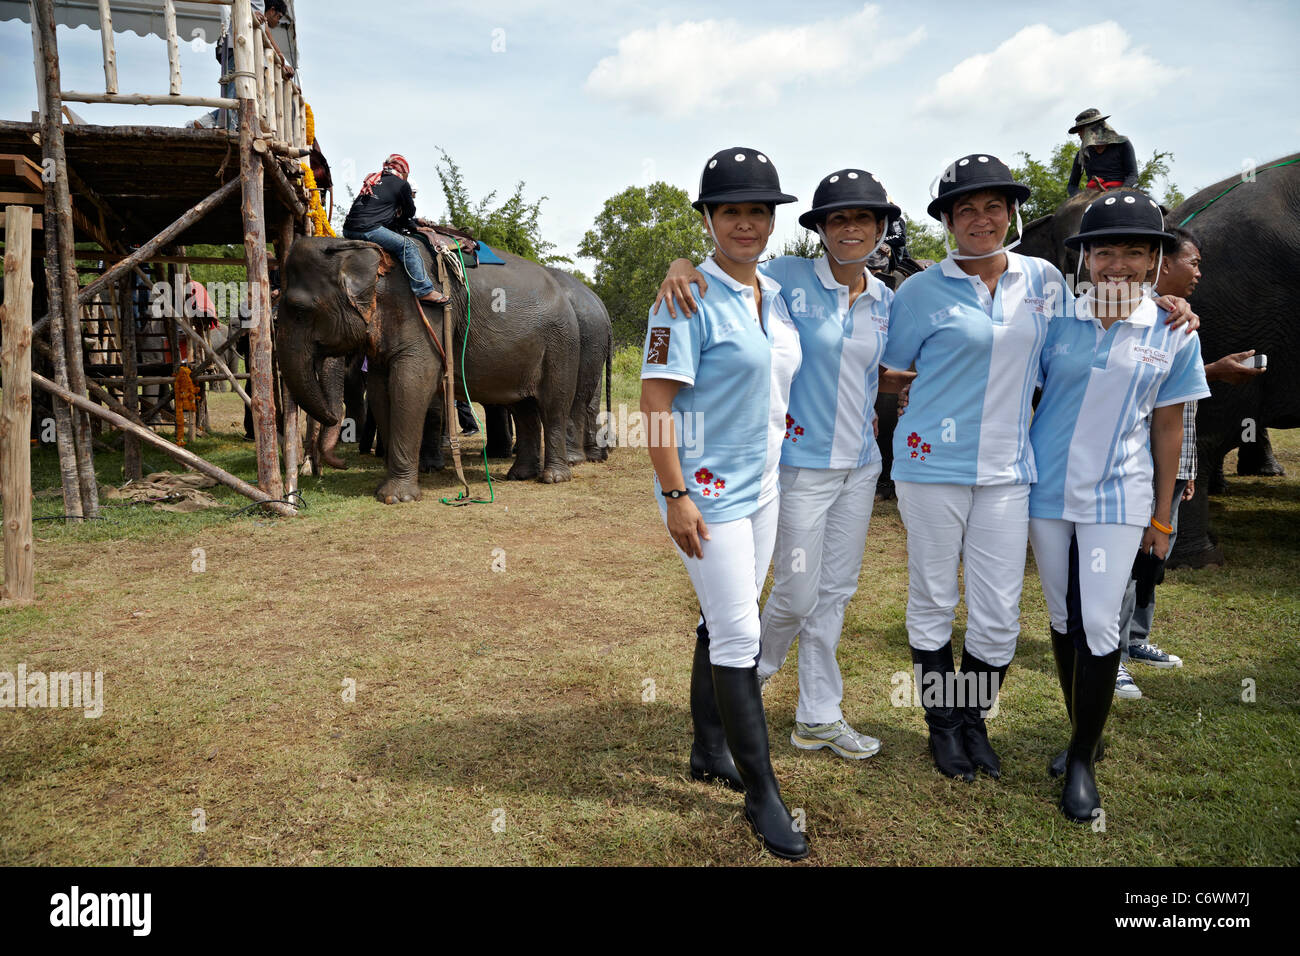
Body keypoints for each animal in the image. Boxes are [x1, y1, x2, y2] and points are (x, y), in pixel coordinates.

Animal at [282, 236, 582, 504]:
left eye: (299, 310)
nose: (340, 463)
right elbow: (380, 392)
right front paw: (384, 489)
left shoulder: (424, 317)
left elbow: (410, 385)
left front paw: (397, 498)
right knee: (523, 408)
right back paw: (520, 475)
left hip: (561, 345)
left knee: (553, 406)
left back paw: (553, 477)